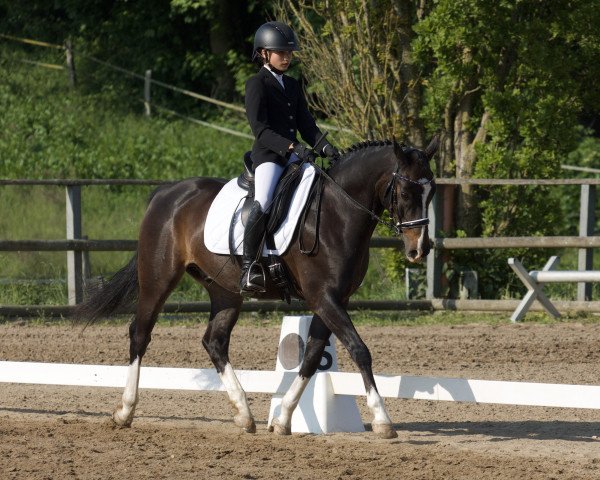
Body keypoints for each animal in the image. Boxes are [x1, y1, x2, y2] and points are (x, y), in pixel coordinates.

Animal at [77, 137, 438, 440]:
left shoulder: (335, 299)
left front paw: (282, 419)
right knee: (140, 332)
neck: (337, 213)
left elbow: (312, 357)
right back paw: (125, 411)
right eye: (406, 193)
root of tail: (166, 194)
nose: (419, 249)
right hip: (158, 278)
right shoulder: (323, 297)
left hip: (224, 290)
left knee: (215, 342)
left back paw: (244, 414)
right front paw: (382, 421)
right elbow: (359, 349)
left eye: (432, 193)